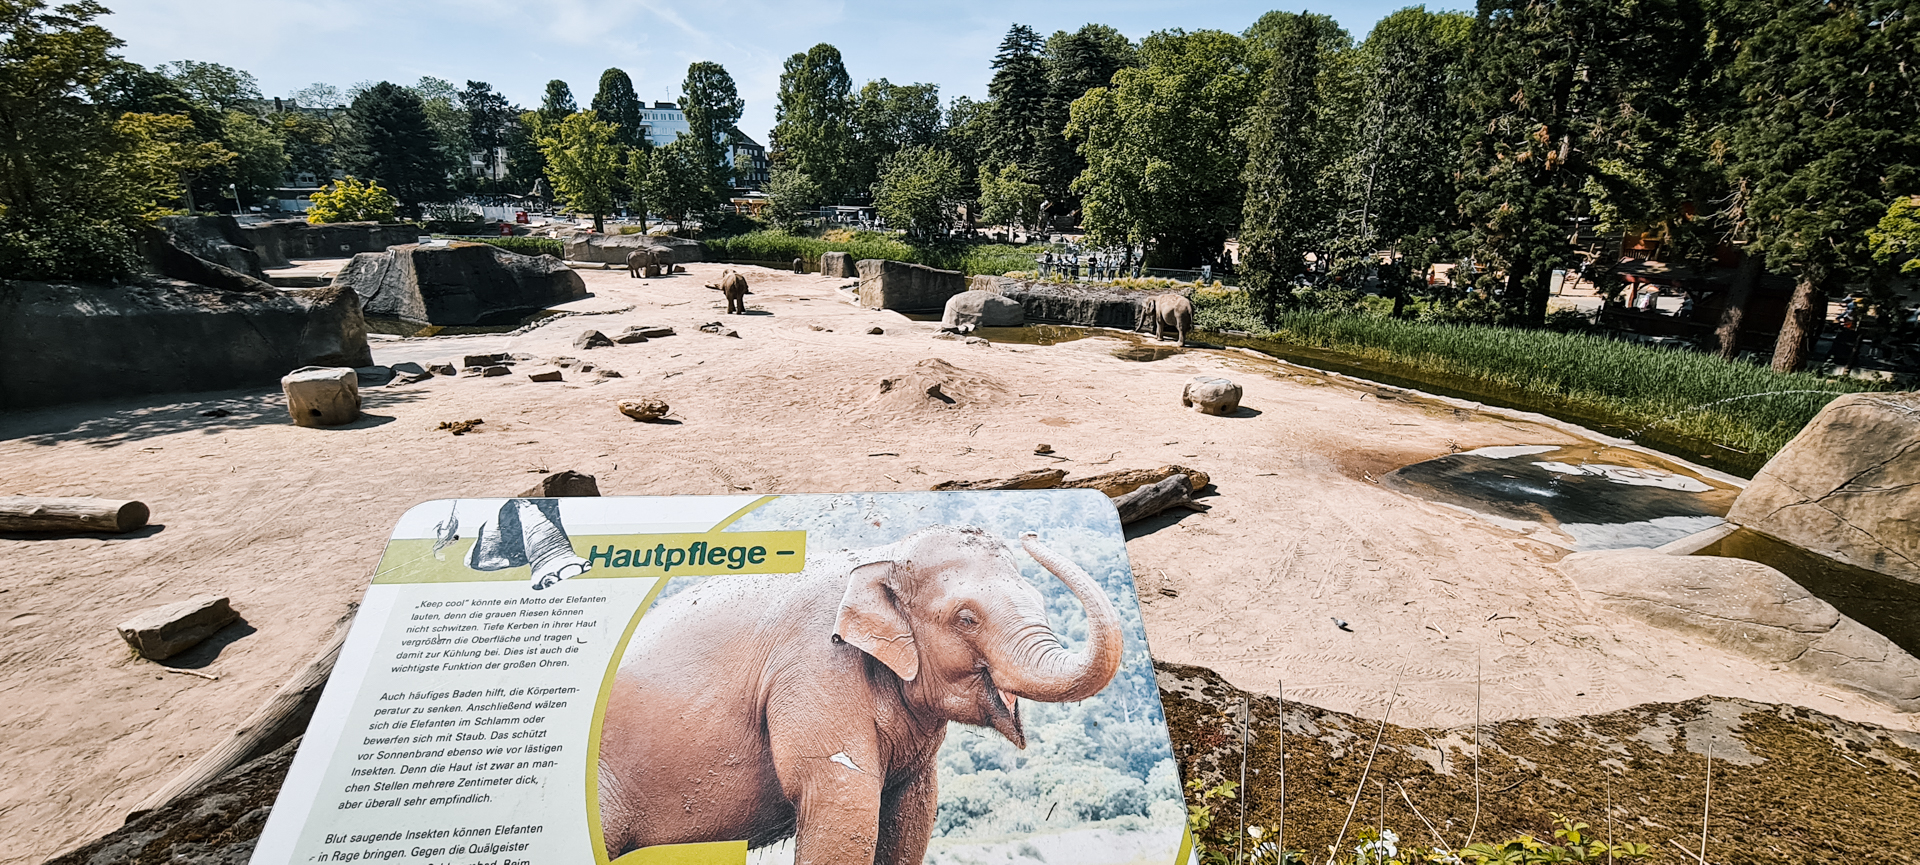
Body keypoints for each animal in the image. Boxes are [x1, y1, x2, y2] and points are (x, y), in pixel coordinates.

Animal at [597, 526, 1124, 865]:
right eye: (966, 618)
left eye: (1039, 602)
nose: (1030, 536)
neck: (881, 556)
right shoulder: (813, 668)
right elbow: (840, 799)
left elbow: (912, 813)